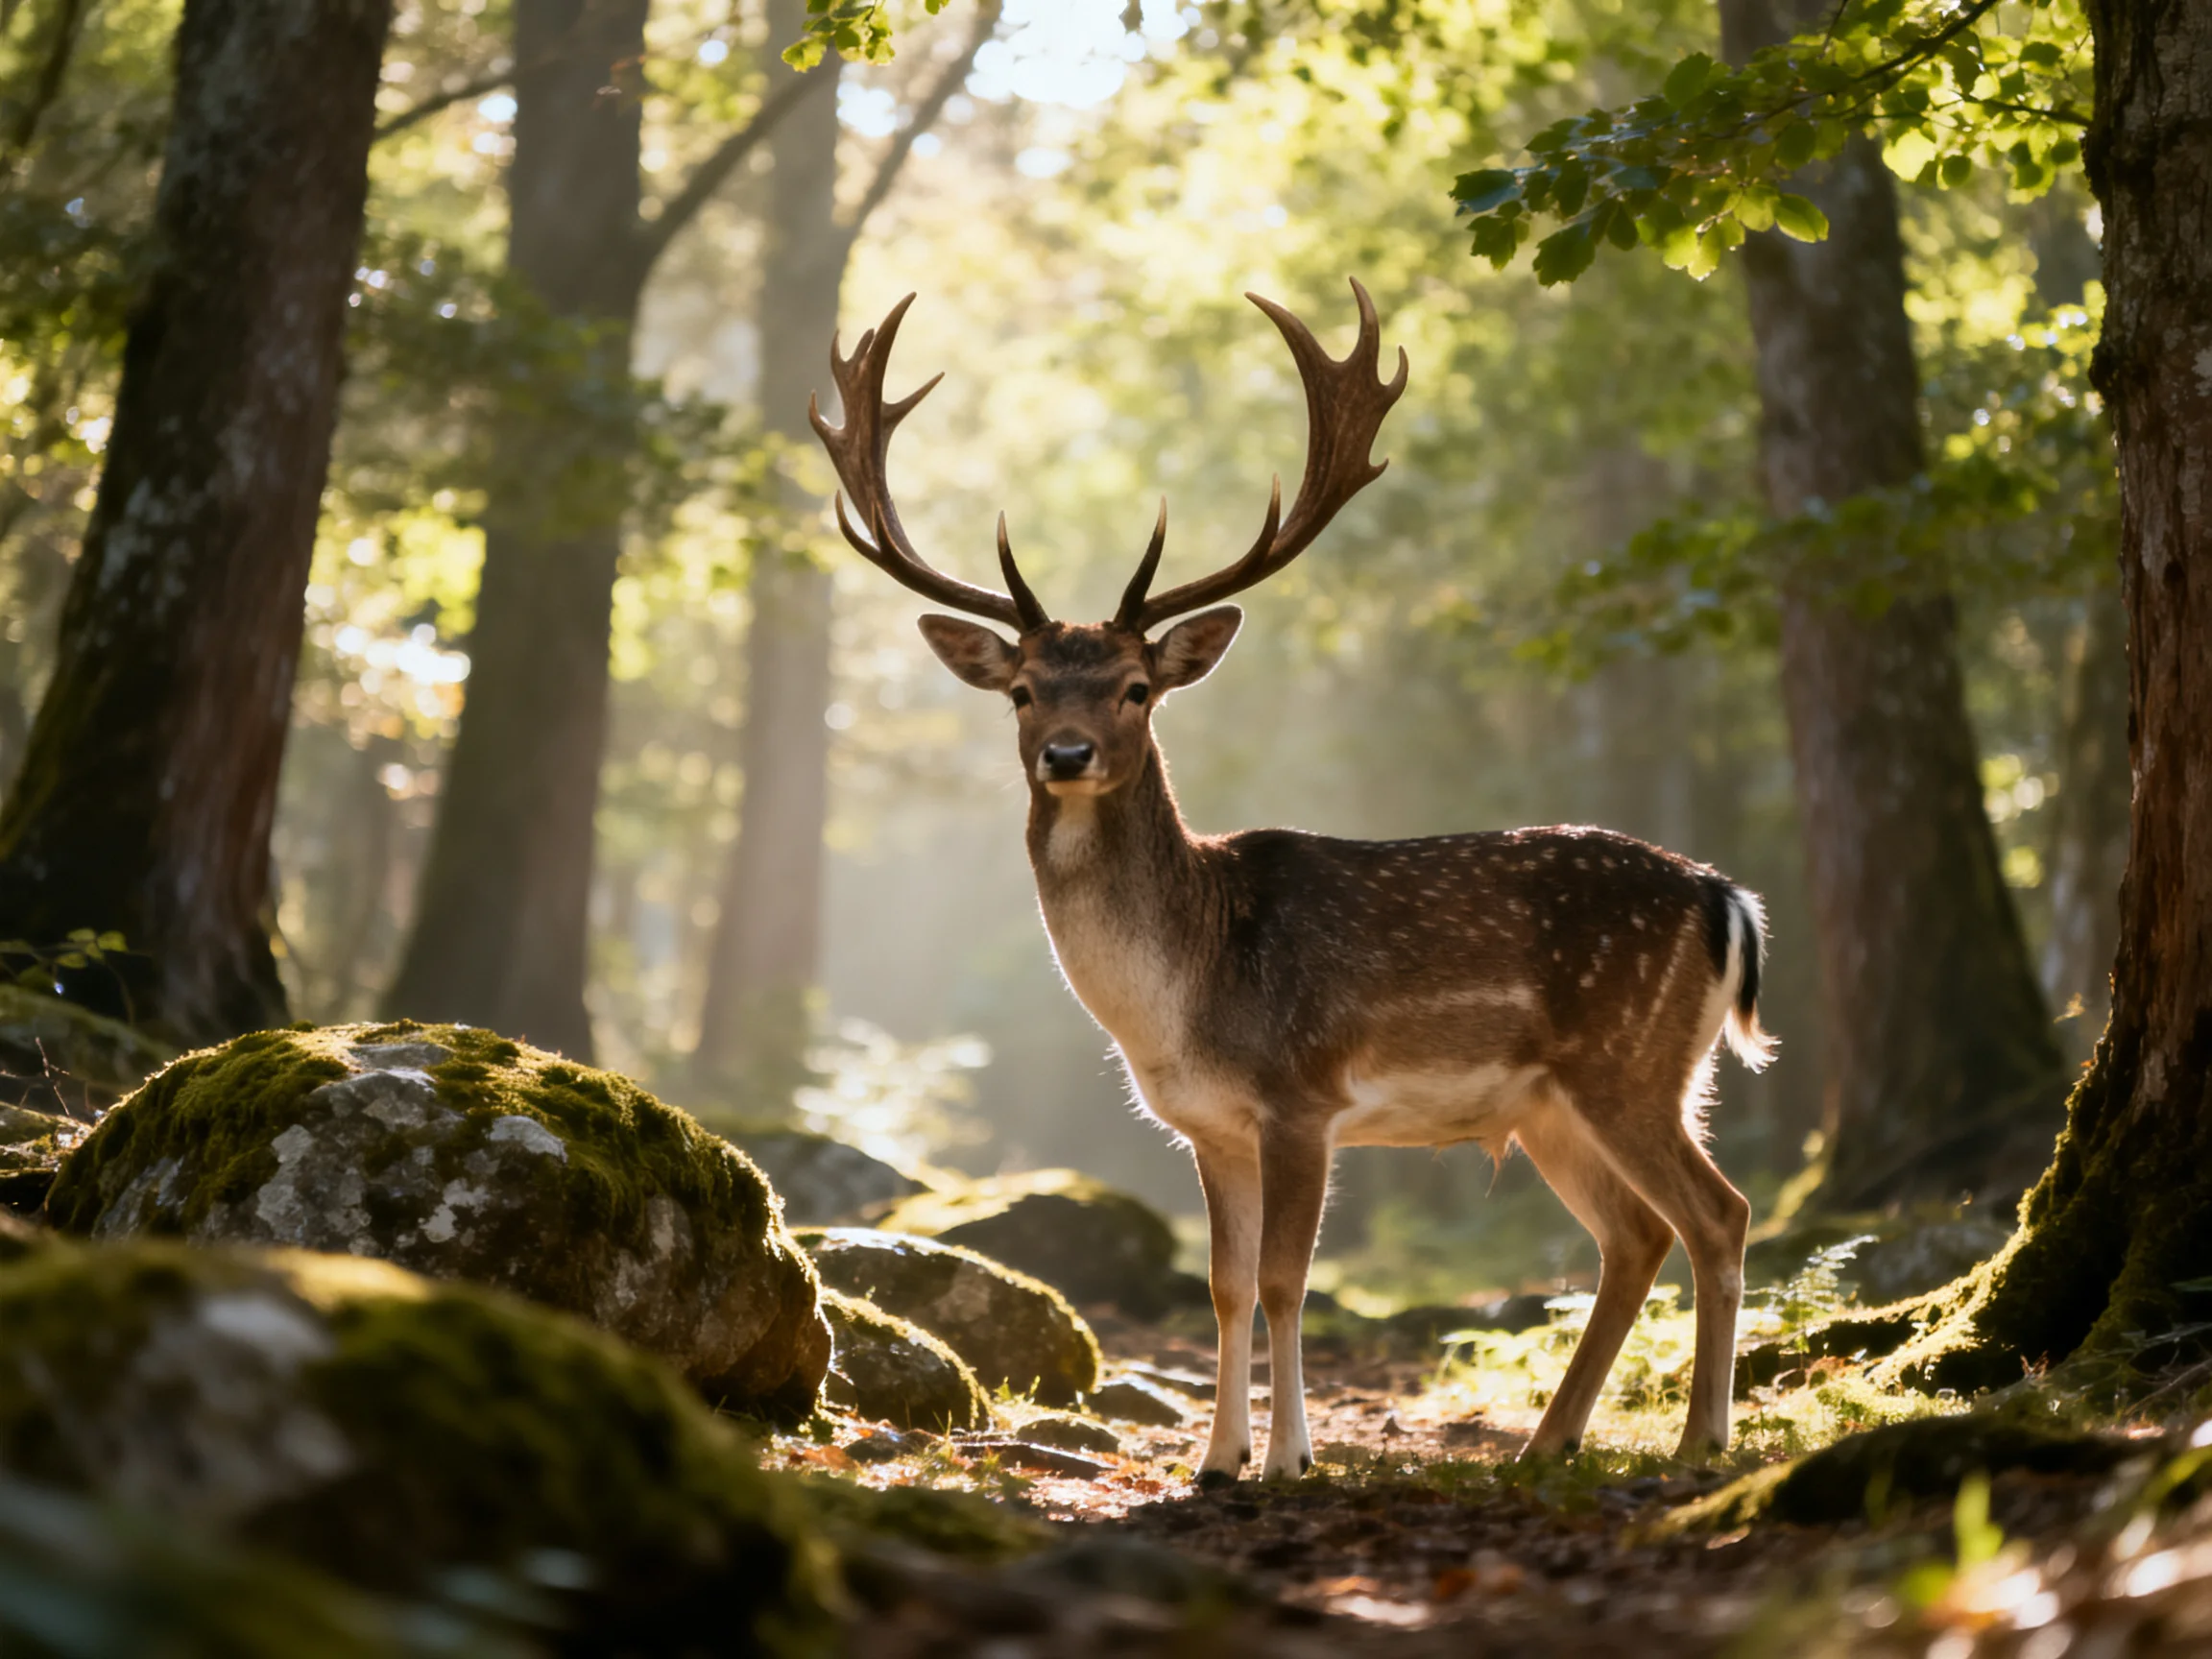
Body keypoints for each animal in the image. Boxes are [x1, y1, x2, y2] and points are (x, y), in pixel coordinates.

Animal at [810, 280, 1776, 1481]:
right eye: (1024, 690)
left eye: (1135, 687)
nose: (1067, 755)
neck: (1181, 995)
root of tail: (1724, 898)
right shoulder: (1209, 1126)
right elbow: (1226, 1288)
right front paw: (1216, 1458)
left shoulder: (1303, 1094)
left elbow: (1283, 1282)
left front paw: (1287, 1460)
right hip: (1557, 1102)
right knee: (1636, 1235)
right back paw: (1547, 1444)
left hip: (1632, 1062)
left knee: (1719, 1214)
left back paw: (1700, 1442)